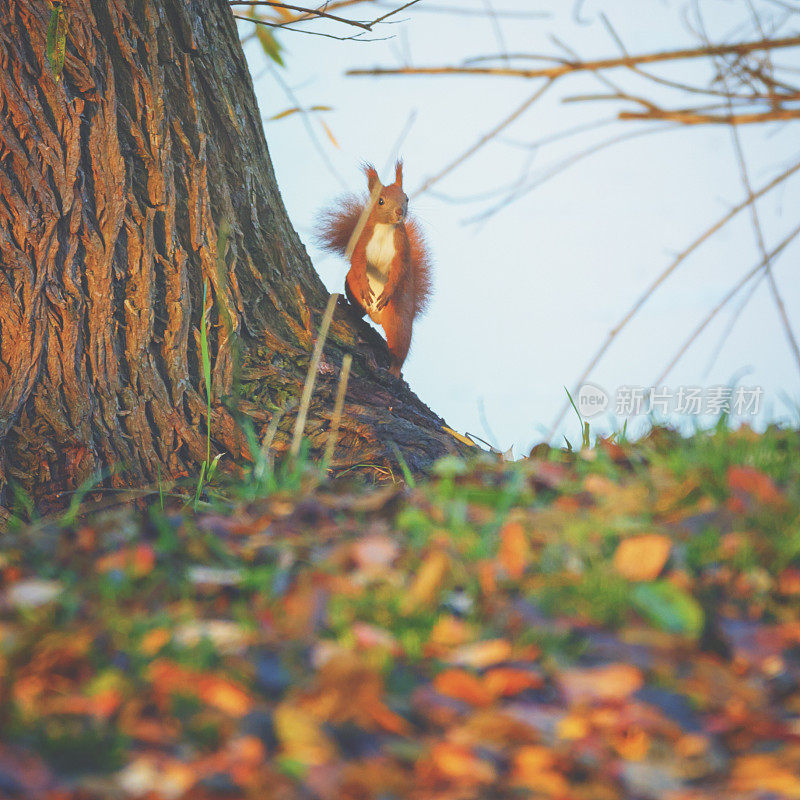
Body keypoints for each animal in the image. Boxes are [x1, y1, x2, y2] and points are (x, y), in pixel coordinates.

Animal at [316, 163, 434, 382]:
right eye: (380, 201)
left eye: (406, 198)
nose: (399, 212)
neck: (385, 228)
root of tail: (377, 317)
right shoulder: (361, 243)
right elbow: (357, 262)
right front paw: (365, 286)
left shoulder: (402, 251)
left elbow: (399, 271)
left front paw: (387, 292)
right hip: (350, 283)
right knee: (359, 308)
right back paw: (347, 304)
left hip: (398, 320)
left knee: (399, 350)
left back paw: (394, 371)